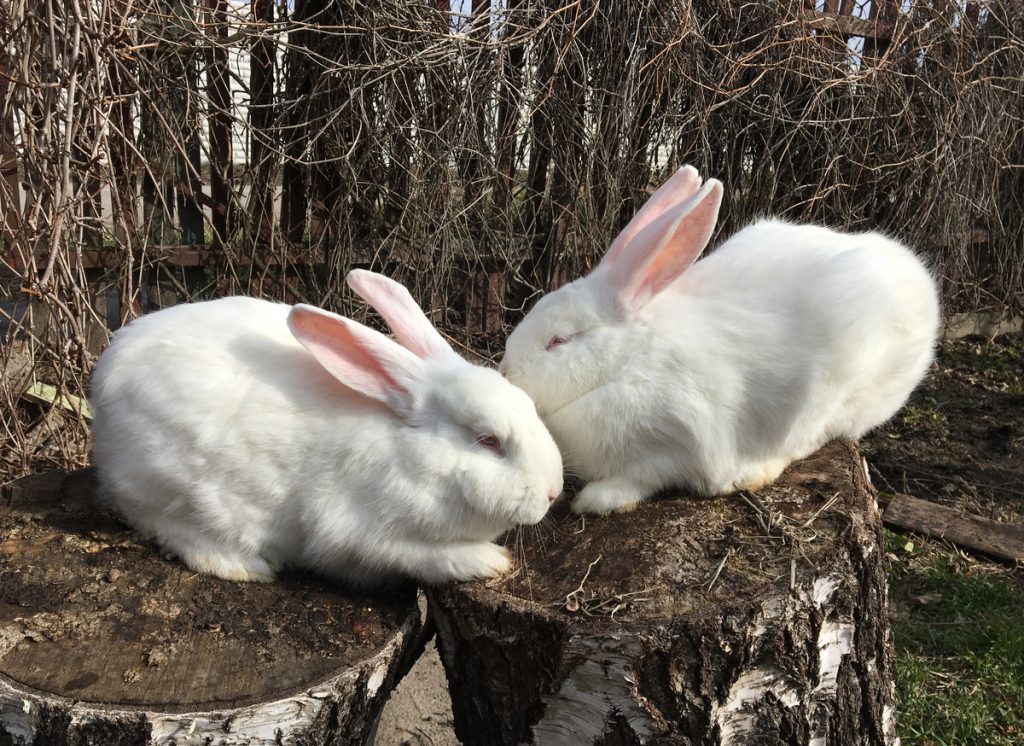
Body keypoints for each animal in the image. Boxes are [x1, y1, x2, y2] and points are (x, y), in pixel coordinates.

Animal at [90, 269, 563, 585]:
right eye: (488, 440)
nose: (554, 491)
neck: (408, 454)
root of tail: (105, 377)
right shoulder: (357, 533)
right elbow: (420, 556)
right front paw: (489, 560)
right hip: (173, 488)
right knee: (165, 526)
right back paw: (246, 567)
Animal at [499, 165, 940, 515]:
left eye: (559, 341)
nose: (505, 371)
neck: (629, 363)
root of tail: (916, 275)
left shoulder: (675, 446)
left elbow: (642, 479)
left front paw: (595, 500)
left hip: (837, 395)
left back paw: (757, 471)